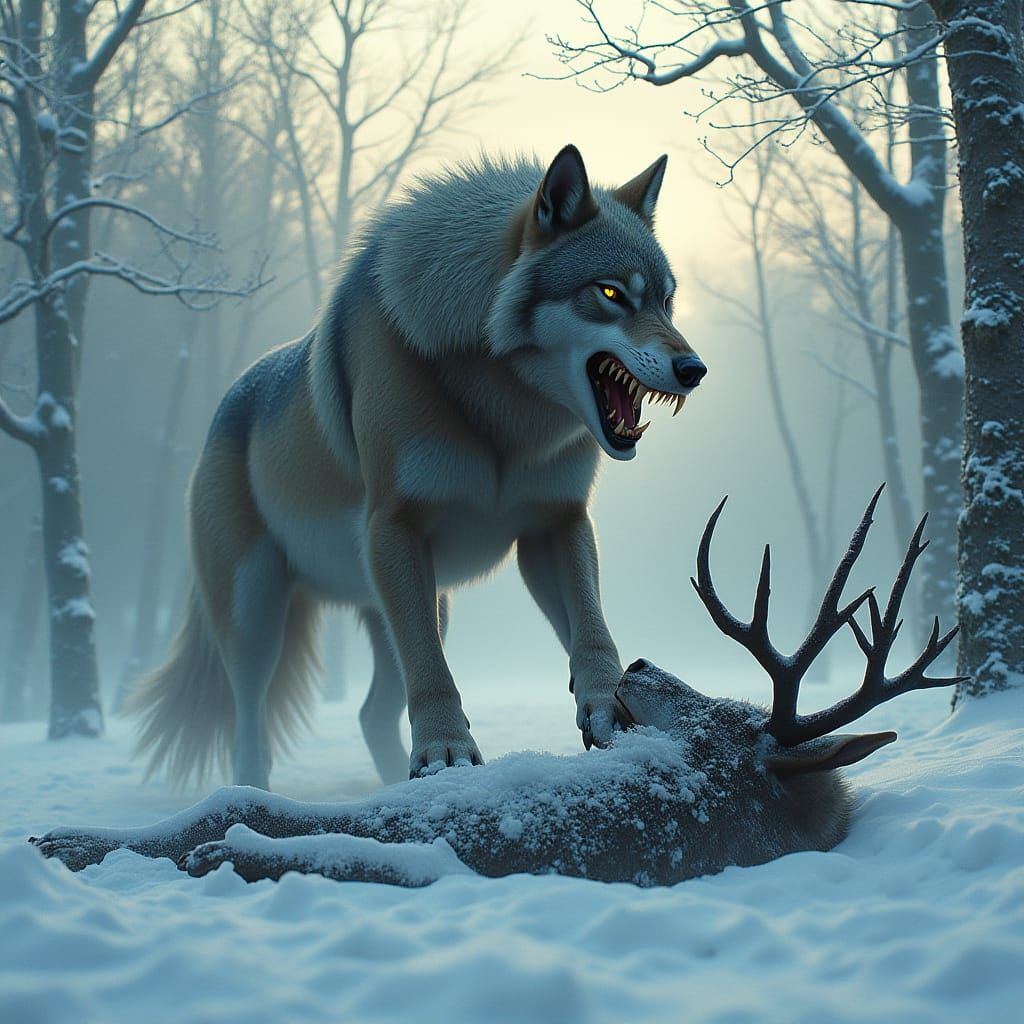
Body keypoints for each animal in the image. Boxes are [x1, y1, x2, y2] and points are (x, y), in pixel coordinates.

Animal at [129, 144, 707, 790]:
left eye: (666, 301)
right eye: (609, 294)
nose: (695, 370)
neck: (502, 411)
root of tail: (225, 404)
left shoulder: (555, 524)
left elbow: (594, 631)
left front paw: (608, 707)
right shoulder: (396, 527)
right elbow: (432, 671)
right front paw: (446, 754)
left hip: (418, 603)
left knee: (368, 712)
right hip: (258, 616)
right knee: (249, 726)